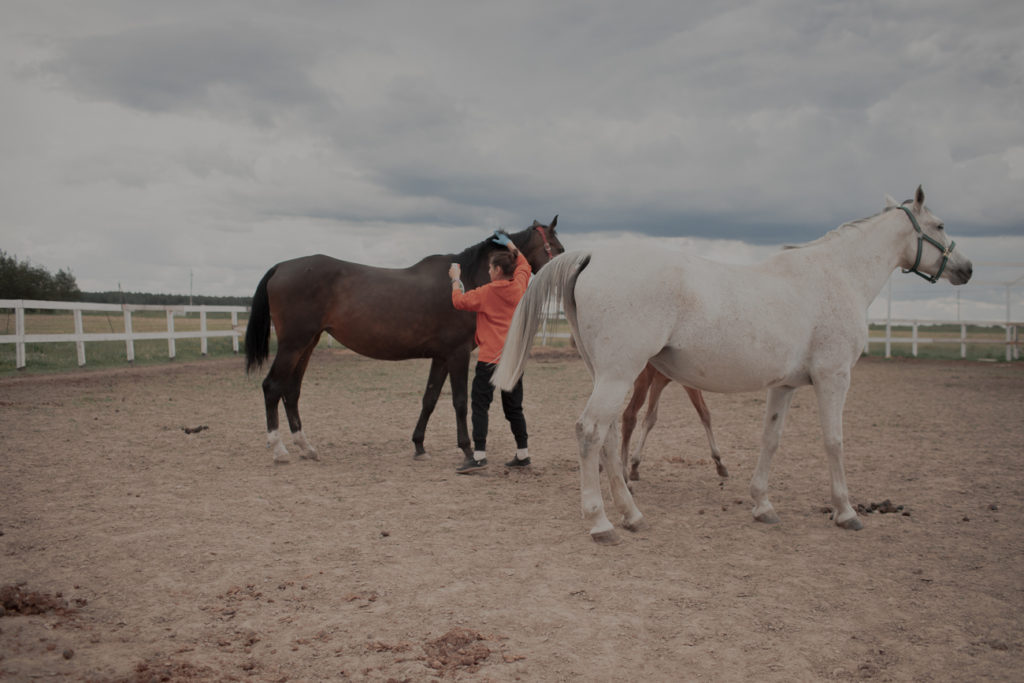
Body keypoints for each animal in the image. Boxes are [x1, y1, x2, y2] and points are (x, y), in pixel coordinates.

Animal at [246, 219, 565, 464]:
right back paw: (279, 450)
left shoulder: (442, 356)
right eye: (559, 248)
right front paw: (467, 449)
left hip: (308, 344)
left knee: (291, 391)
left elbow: (430, 398)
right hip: (293, 344)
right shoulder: (458, 353)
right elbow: (460, 401)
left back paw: (306, 447)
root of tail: (282, 267)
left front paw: (419, 446)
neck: (470, 279)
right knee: (272, 387)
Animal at [495, 187, 974, 544]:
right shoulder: (834, 378)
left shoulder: (784, 386)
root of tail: (593, 255)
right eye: (940, 226)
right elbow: (834, 442)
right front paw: (846, 511)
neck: (837, 277)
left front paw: (762, 505)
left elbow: (771, 440)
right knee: (591, 432)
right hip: (618, 375)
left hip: (610, 376)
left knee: (610, 436)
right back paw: (601, 522)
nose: (967, 268)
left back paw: (631, 514)